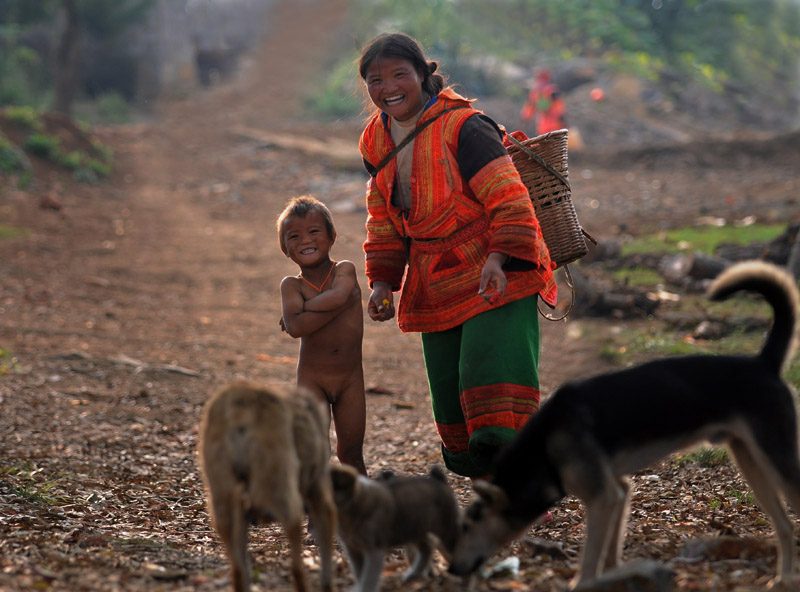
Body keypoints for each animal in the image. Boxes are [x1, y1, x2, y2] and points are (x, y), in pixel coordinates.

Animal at [202, 382, 340, 588]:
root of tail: (239, 404)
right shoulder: (320, 495)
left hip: (222, 501)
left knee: (238, 572)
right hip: (283, 493)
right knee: (296, 568)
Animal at [450, 262, 800, 588]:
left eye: (466, 526)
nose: (452, 569)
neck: (544, 445)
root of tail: (763, 363)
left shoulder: (603, 497)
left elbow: (591, 557)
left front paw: (583, 584)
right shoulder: (619, 491)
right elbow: (609, 555)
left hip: (777, 460)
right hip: (751, 462)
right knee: (785, 526)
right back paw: (782, 578)